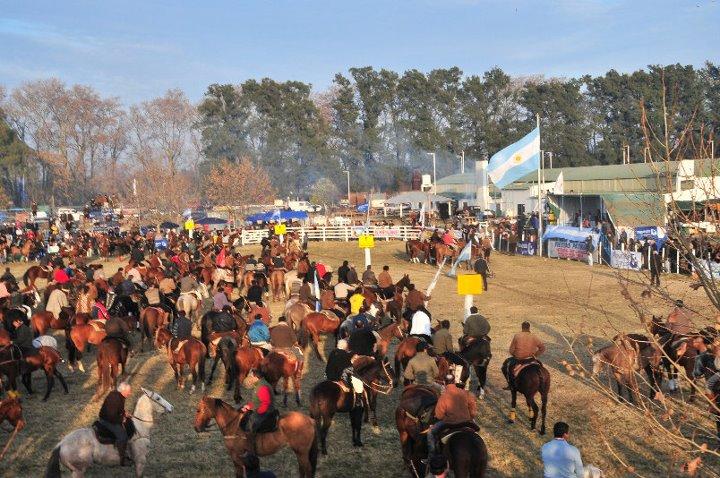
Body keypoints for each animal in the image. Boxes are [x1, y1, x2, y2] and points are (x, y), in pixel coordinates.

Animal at [45, 388, 174, 478]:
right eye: (158, 398)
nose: (171, 407)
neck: (139, 427)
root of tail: (60, 445)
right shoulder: (140, 461)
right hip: (78, 471)